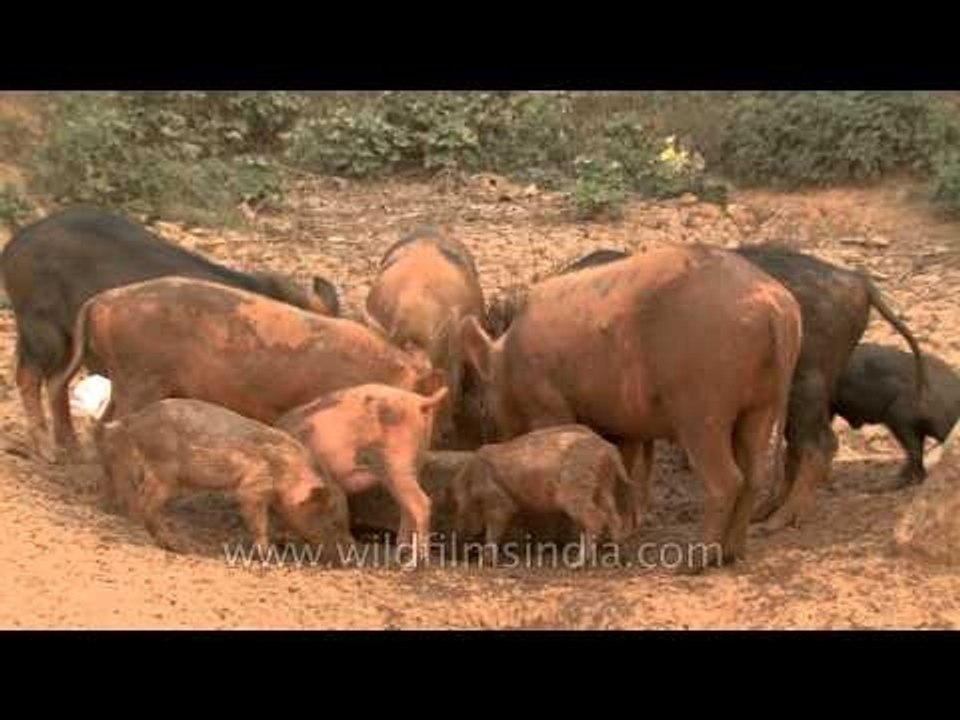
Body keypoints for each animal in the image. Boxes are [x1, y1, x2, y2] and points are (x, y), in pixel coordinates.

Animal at [1, 206, 340, 458]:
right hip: (42, 328)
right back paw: (47, 452)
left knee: (55, 384)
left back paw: (71, 450)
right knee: (29, 377)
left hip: (67, 341)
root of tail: (14, 245)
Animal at [93, 398, 354, 559]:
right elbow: (254, 513)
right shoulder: (256, 484)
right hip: (164, 472)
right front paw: (269, 554)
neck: (292, 471)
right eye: (334, 522)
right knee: (145, 502)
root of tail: (135, 420)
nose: (351, 551)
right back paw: (177, 546)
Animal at [274, 384, 450, 568]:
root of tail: (420, 401)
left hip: (398, 465)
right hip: (415, 463)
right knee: (407, 509)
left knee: (422, 504)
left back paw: (415, 563)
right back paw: (396, 558)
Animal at [450, 425, 635, 567]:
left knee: (596, 518)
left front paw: (486, 562)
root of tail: (609, 449)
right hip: (603, 488)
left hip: (575, 492)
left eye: (459, 505)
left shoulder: (500, 504)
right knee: (614, 517)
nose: (458, 554)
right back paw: (622, 559)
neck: (469, 482)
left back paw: (577, 564)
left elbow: (493, 531)